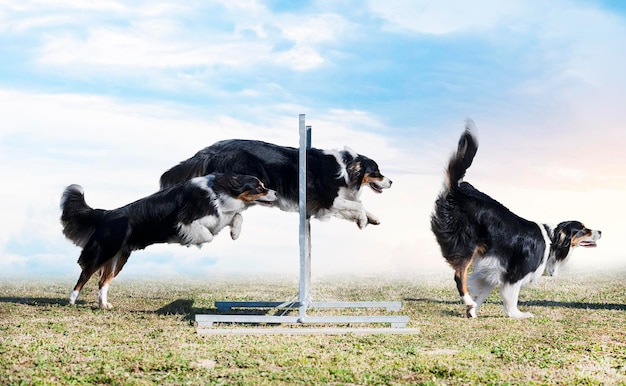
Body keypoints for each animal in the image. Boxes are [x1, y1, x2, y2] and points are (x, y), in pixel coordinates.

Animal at [61, 173, 276, 310]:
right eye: (258, 187)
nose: (275, 193)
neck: (219, 189)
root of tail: (106, 214)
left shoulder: (217, 215)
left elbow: (236, 216)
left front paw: (235, 233)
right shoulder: (184, 221)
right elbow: (208, 234)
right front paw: (197, 242)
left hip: (119, 256)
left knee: (103, 280)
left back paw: (103, 304)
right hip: (105, 249)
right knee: (86, 272)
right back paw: (72, 299)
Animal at [158, 139, 388, 228]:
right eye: (376, 172)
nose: (392, 181)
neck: (346, 168)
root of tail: (211, 148)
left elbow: (359, 205)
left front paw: (374, 218)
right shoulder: (328, 200)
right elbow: (358, 205)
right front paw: (362, 221)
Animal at [428, 121, 600, 320]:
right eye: (583, 229)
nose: (601, 231)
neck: (553, 240)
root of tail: (457, 190)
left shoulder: (492, 268)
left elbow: (484, 291)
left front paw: (472, 312)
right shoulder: (515, 272)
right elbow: (511, 297)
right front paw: (517, 314)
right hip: (466, 244)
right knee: (458, 275)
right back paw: (468, 301)